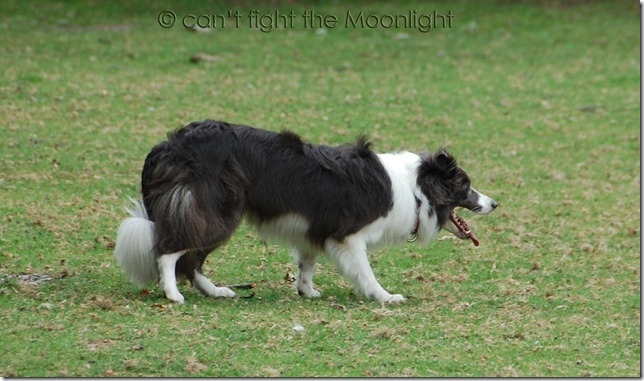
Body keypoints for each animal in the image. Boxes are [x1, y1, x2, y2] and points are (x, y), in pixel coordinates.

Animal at [114, 119, 498, 302]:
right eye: (465, 185)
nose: (494, 203)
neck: (417, 188)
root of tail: (169, 145)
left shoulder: (315, 228)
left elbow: (307, 262)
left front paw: (306, 290)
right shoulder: (349, 237)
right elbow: (366, 271)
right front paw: (385, 297)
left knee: (191, 261)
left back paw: (216, 291)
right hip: (215, 212)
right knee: (169, 250)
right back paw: (172, 293)